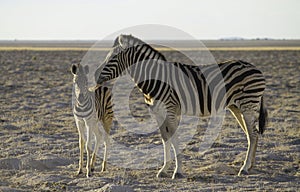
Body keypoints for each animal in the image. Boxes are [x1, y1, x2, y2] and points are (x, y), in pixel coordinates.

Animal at [92, 34, 268, 178]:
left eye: (113, 58)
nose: (95, 76)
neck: (155, 79)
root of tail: (255, 68)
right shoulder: (158, 113)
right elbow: (165, 139)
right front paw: (164, 169)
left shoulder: (170, 110)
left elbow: (175, 139)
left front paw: (177, 171)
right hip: (237, 107)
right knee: (251, 134)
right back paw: (250, 166)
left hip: (248, 104)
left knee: (253, 134)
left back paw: (244, 168)